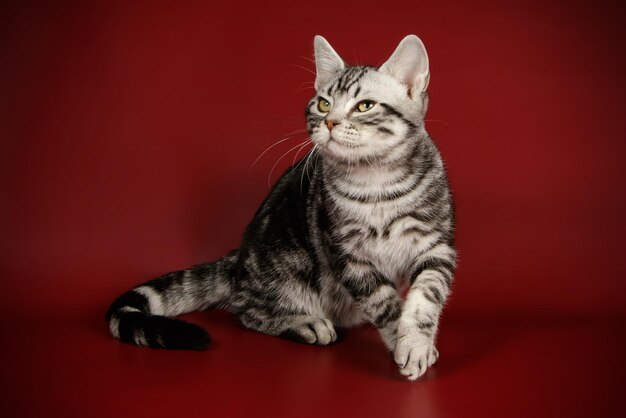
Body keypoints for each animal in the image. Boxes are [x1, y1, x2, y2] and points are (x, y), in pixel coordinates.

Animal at [106, 35, 454, 382]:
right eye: (323, 104)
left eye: (365, 106)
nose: (330, 121)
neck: (377, 184)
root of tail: (237, 261)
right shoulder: (350, 257)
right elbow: (385, 304)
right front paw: (403, 343)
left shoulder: (436, 248)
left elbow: (426, 297)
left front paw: (416, 342)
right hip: (287, 267)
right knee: (246, 310)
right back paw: (306, 323)